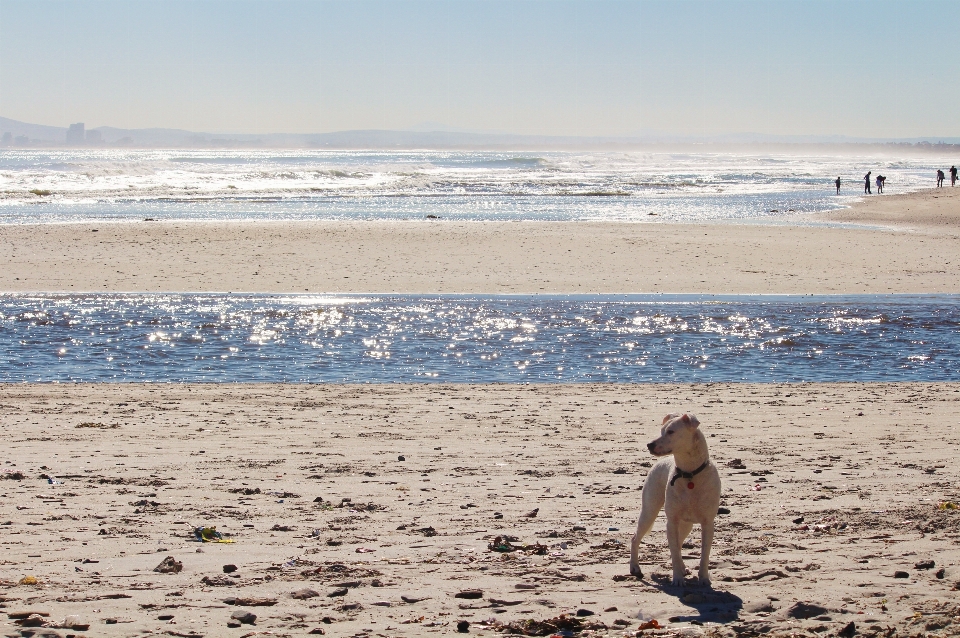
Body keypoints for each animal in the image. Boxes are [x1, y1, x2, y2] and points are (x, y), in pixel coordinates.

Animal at [632, 416, 720, 592]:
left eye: (671, 431)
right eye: (661, 431)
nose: (649, 444)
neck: (689, 474)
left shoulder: (708, 523)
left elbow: (704, 554)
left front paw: (704, 579)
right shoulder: (672, 521)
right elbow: (673, 551)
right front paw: (678, 579)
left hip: (686, 524)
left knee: (679, 544)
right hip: (649, 511)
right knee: (635, 538)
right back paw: (635, 568)